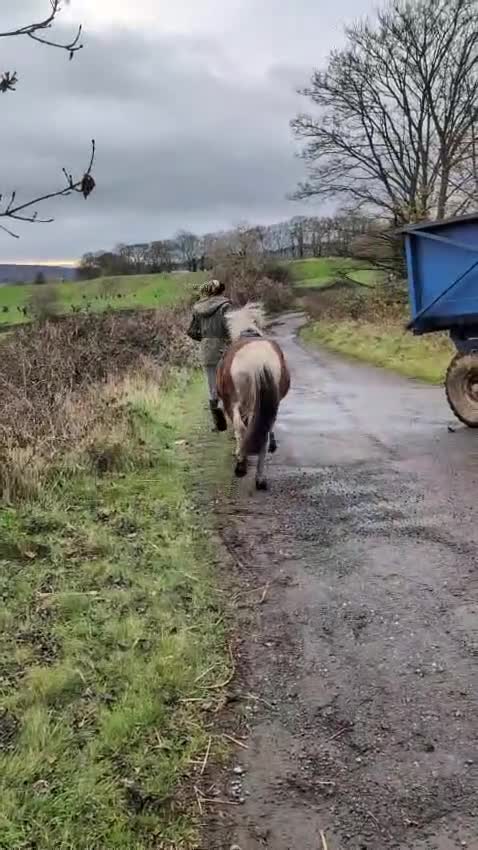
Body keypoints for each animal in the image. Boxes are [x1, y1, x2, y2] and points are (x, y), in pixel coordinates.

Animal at [216, 303, 290, 490]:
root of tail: (259, 362)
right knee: (262, 433)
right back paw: (260, 479)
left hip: (237, 403)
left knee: (242, 429)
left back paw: (241, 466)